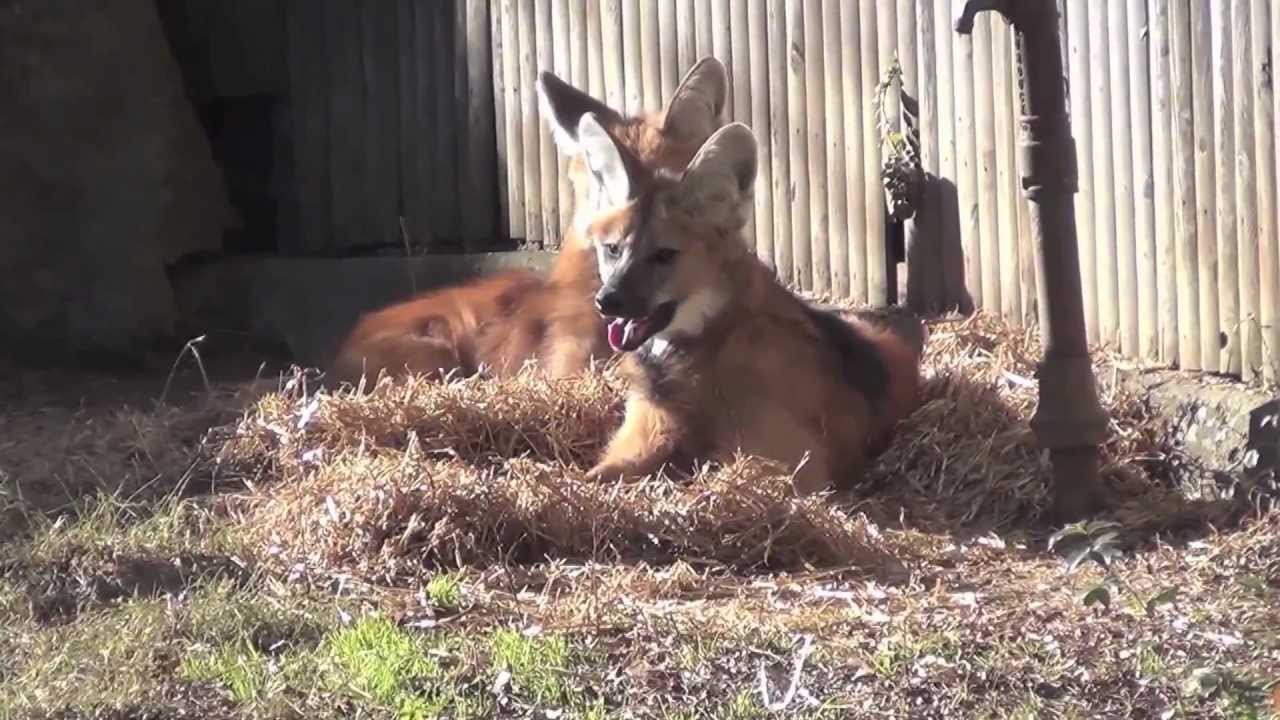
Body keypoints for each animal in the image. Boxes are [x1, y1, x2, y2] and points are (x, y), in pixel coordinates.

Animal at [576, 117, 924, 494]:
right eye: (613, 250)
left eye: (664, 255)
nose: (607, 301)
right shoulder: (648, 431)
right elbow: (596, 474)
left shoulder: (793, 464)